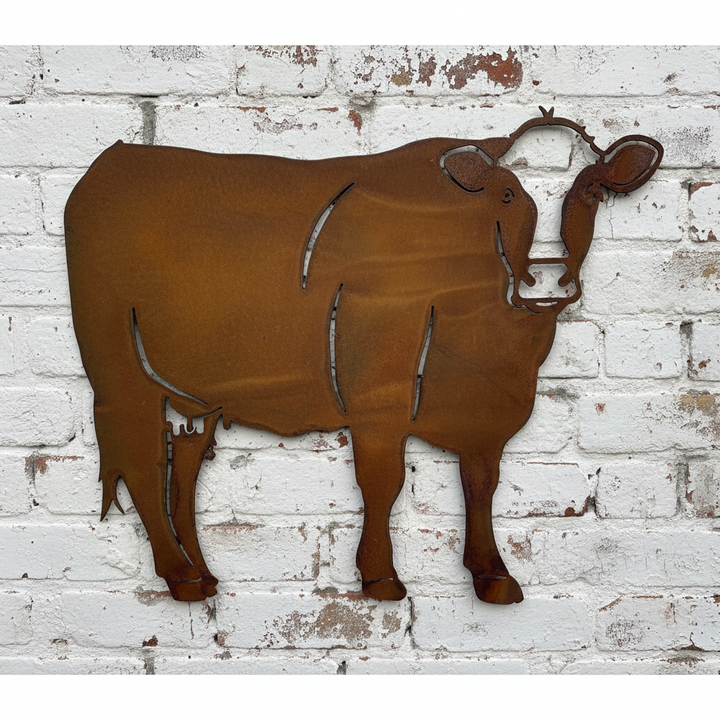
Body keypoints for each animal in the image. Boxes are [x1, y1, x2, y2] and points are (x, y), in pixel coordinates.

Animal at [64, 107, 663, 604]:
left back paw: (203, 576)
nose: (547, 278)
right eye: (507, 195)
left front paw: (492, 574)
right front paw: (380, 577)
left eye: (592, 192)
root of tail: (115, 158)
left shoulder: (483, 406)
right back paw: (182, 576)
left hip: (197, 395)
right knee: (143, 466)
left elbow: (480, 483)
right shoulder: (378, 396)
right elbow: (383, 482)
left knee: (182, 469)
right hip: (118, 376)